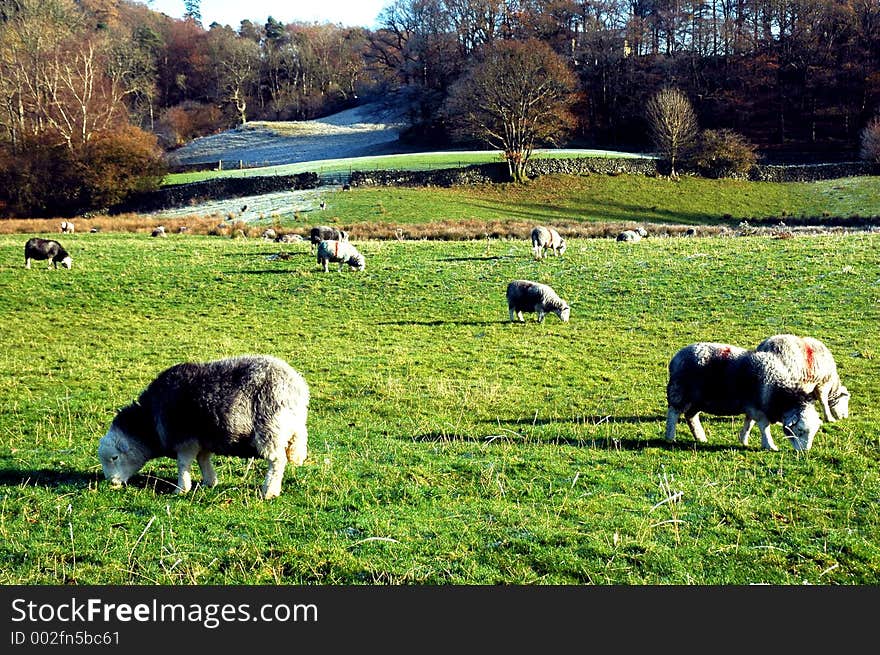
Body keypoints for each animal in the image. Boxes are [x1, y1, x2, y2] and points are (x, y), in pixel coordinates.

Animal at [98, 356, 312, 500]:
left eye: (114, 457)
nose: (111, 483)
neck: (150, 421)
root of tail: (297, 388)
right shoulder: (202, 440)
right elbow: (203, 460)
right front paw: (210, 482)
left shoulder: (185, 440)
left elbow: (183, 464)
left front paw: (181, 489)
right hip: (288, 430)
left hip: (271, 429)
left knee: (277, 461)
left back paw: (269, 491)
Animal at [668, 344, 824, 452]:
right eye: (799, 430)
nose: (805, 451)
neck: (778, 391)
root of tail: (676, 357)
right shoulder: (758, 409)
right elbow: (764, 427)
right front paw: (769, 445)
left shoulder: (752, 406)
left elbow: (749, 424)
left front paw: (743, 439)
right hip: (679, 393)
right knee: (673, 414)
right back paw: (670, 437)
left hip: (697, 400)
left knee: (690, 417)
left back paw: (700, 438)